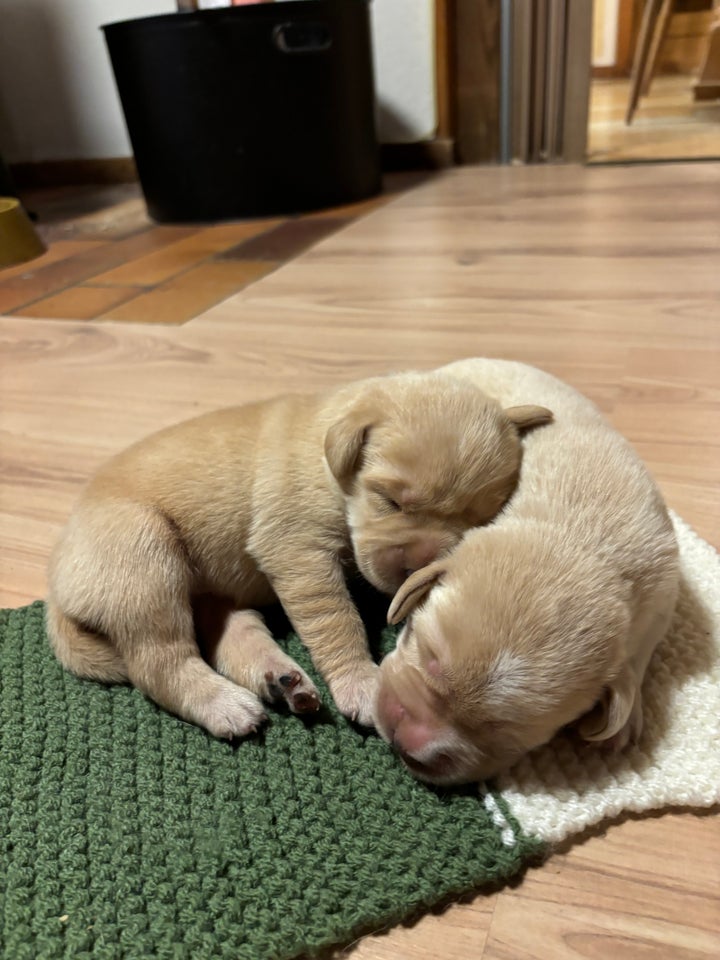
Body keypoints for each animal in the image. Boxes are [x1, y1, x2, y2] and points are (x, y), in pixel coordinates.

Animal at [45, 366, 552, 736]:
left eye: (475, 524)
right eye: (389, 501)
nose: (416, 569)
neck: (331, 468)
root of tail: (55, 586)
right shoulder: (299, 553)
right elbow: (338, 621)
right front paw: (362, 684)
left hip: (208, 593)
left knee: (231, 636)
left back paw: (280, 681)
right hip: (143, 556)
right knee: (159, 663)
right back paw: (224, 704)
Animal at [374, 356, 676, 784]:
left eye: (502, 730)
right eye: (425, 651)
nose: (403, 740)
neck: (577, 541)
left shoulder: (663, 590)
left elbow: (642, 649)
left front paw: (626, 713)